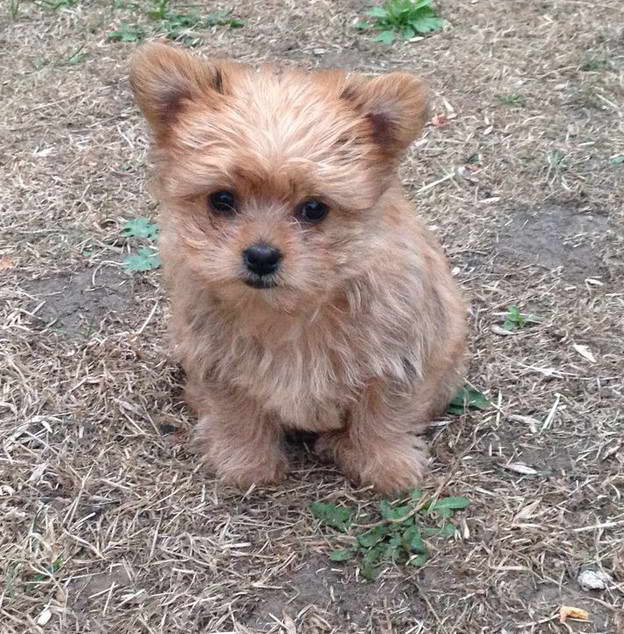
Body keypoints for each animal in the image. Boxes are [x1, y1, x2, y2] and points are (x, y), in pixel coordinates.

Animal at [129, 42, 466, 492]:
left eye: (314, 208)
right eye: (221, 200)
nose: (261, 256)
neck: (290, 311)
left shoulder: (401, 357)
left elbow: (383, 414)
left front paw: (385, 464)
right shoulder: (218, 363)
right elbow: (236, 411)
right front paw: (246, 462)